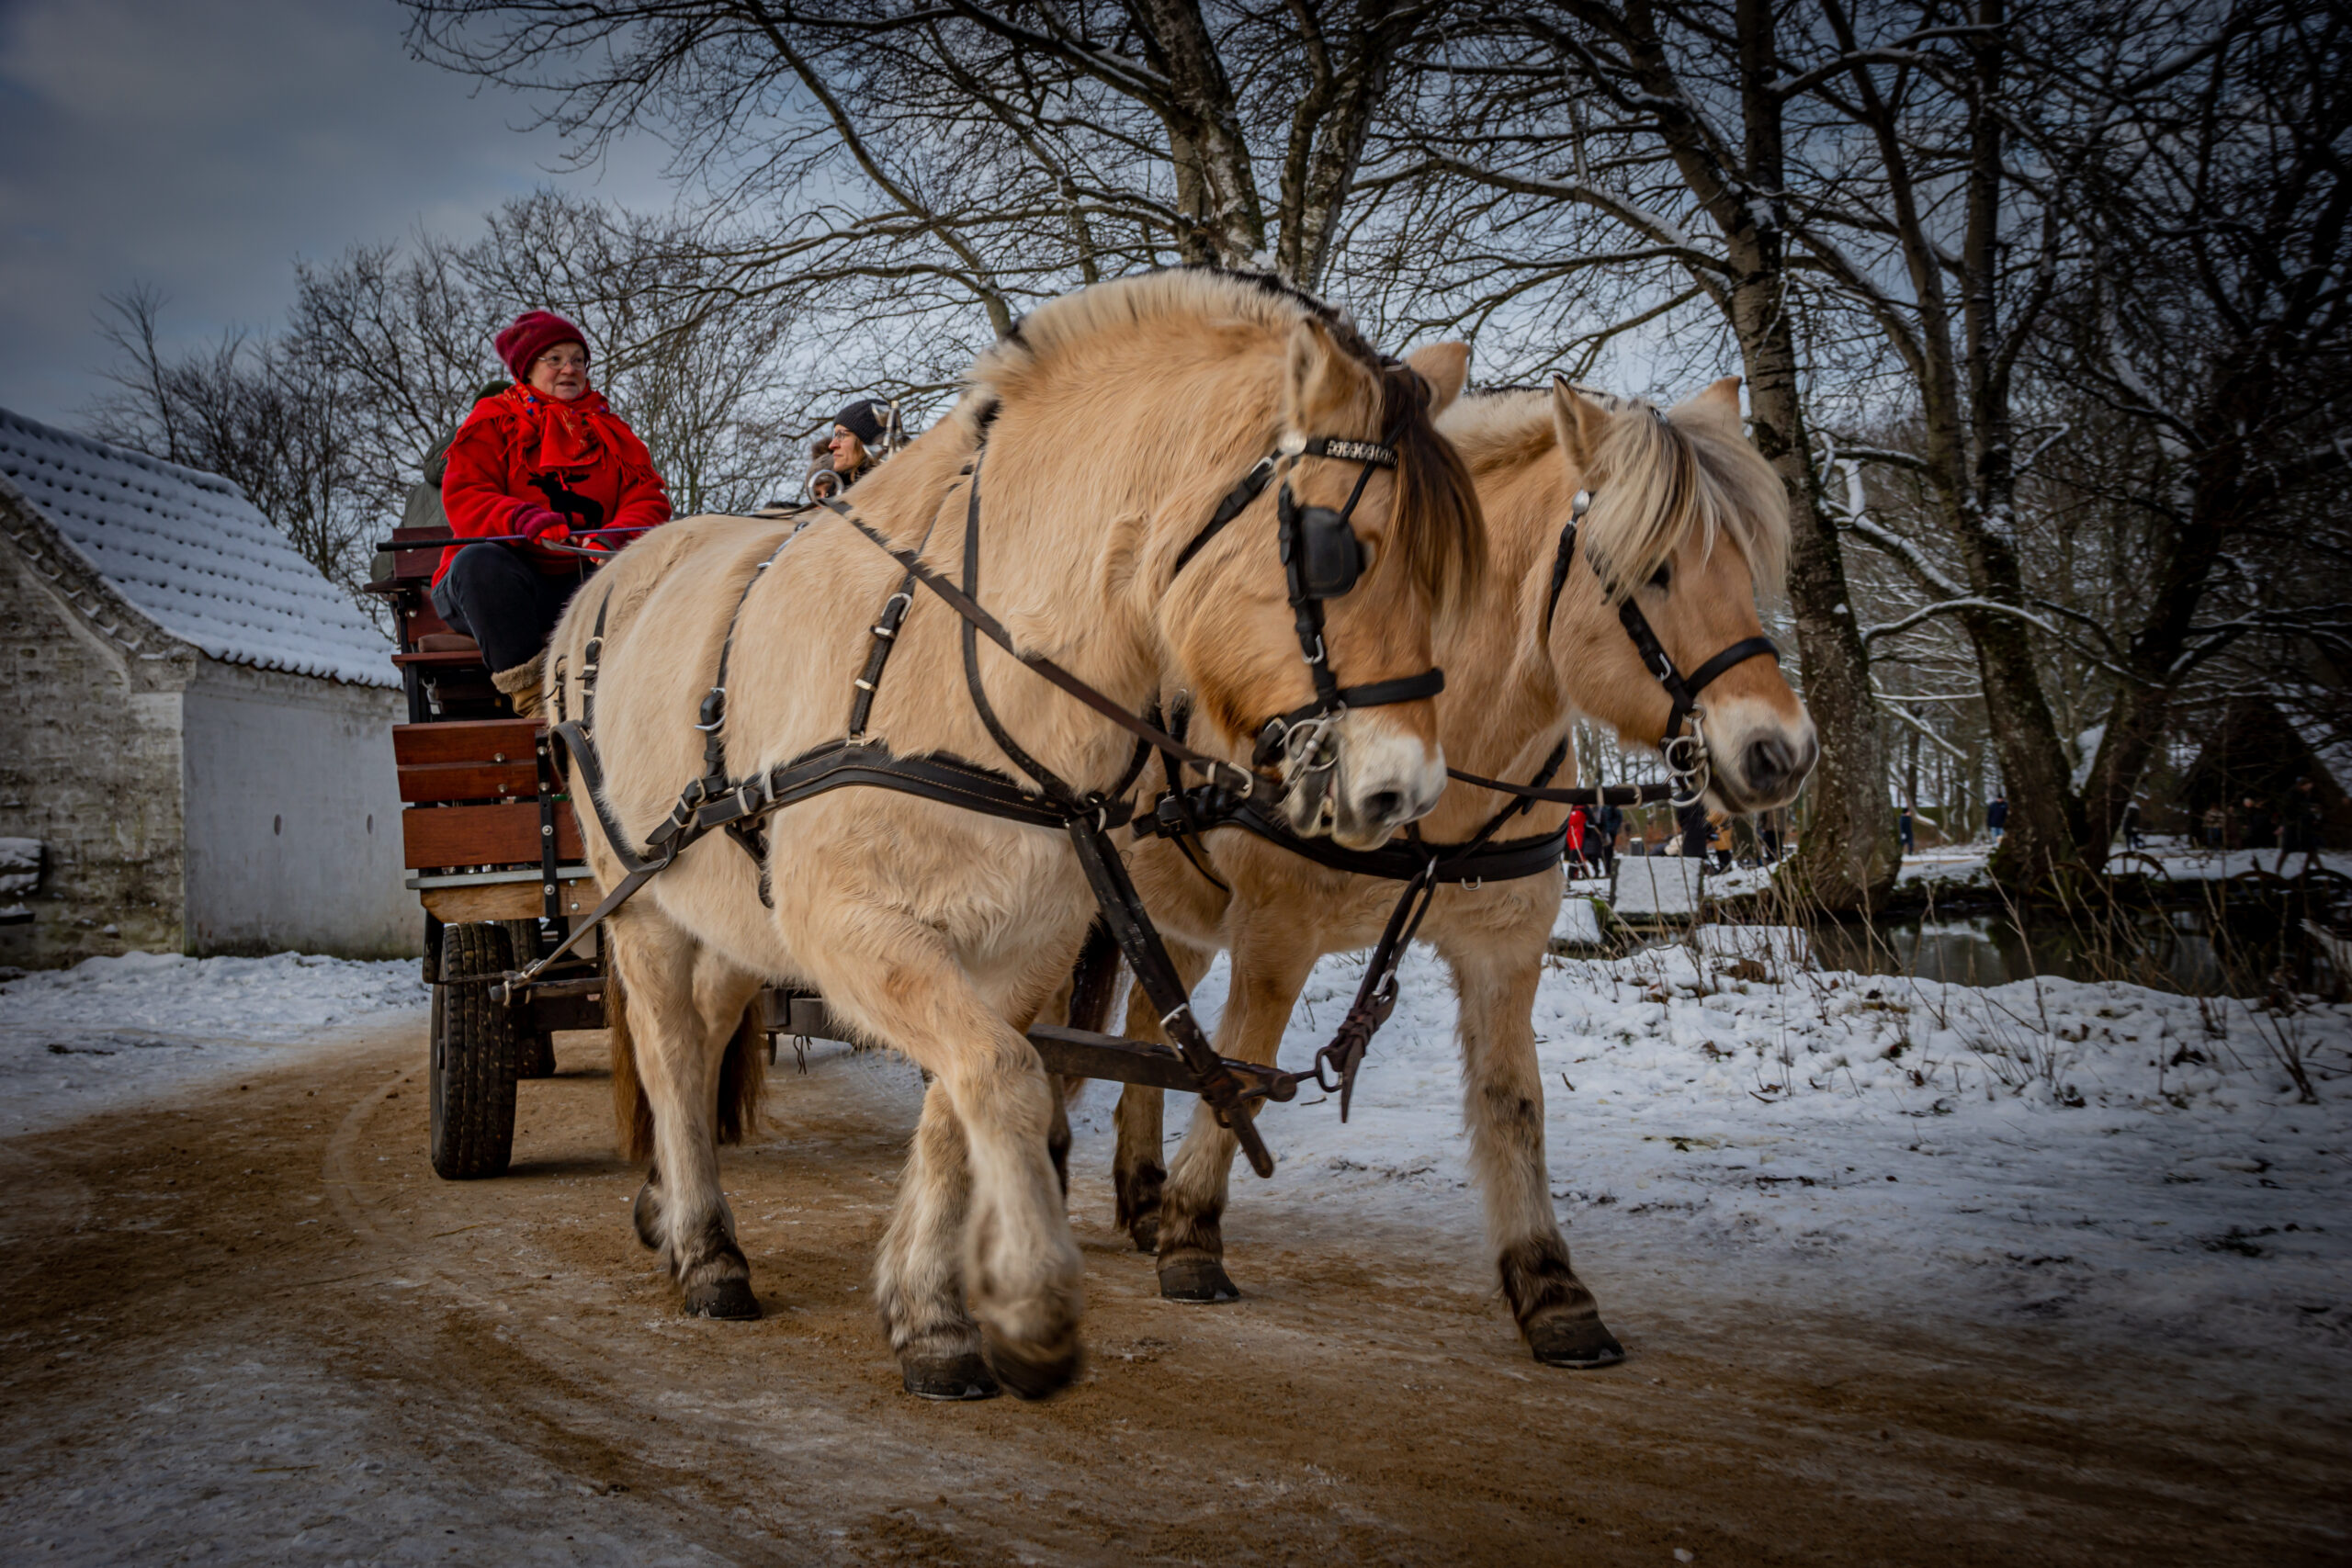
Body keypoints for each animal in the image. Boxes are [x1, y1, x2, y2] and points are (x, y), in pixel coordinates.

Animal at [540, 266, 1476, 1401]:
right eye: (1339, 552)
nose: (1400, 791)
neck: (961, 668)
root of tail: (602, 578)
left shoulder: (1024, 947)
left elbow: (966, 1098)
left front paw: (930, 1315)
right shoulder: (851, 928)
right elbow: (1003, 1078)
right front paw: (1029, 1306)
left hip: (723, 903)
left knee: (716, 1019)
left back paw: (668, 1210)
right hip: (637, 892)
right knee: (671, 1047)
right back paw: (708, 1249)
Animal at [1091, 373, 1806, 1363]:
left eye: (1745, 564)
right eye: (1653, 568)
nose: (1781, 751)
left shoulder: (1504, 950)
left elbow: (1513, 1103)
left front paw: (1550, 1286)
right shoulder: (1275, 937)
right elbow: (1242, 1070)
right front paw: (1194, 1234)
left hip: (1177, 911)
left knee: (1147, 1029)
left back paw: (1138, 1189)